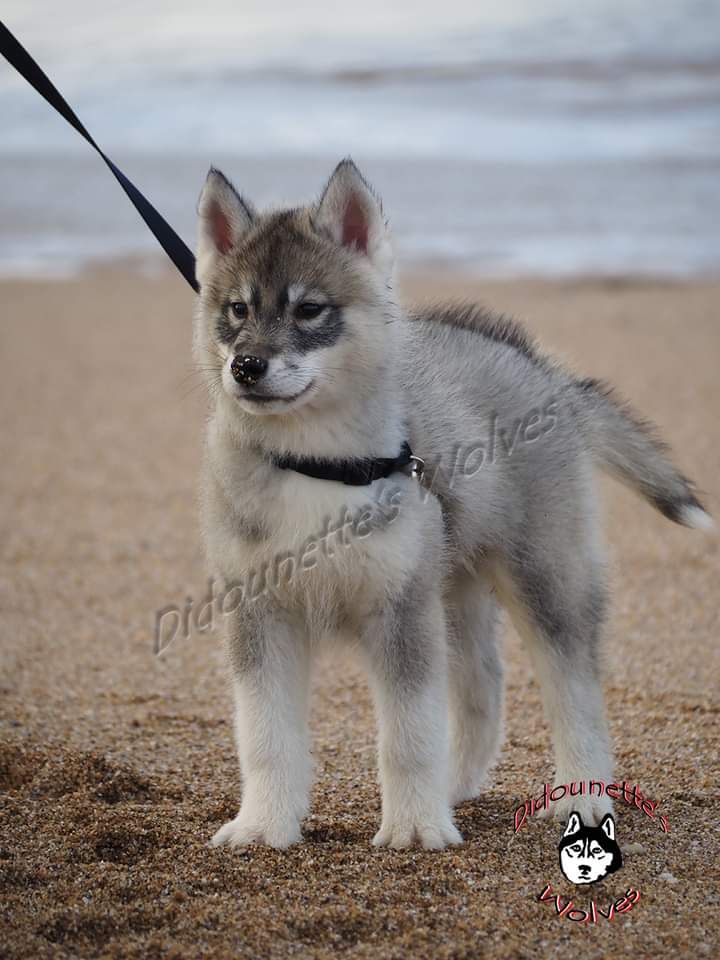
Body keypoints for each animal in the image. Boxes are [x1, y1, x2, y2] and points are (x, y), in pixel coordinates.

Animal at [193, 158, 711, 850]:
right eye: (236, 309)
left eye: (309, 310)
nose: (246, 366)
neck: (317, 466)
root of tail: (547, 375)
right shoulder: (260, 613)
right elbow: (265, 734)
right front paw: (262, 826)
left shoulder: (400, 608)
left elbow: (410, 732)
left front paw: (414, 828)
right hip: (453, 584)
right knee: (481, 686)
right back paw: (455, 787)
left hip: (543, 577)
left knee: (575, 690)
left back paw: (584, 795)